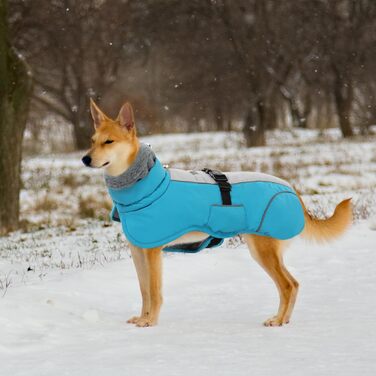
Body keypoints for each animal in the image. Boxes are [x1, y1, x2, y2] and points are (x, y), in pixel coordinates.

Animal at [81, 99, 352, 326]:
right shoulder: (138, 251)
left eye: (109, 141)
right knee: (293, 284)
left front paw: (150, 321)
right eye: (92, 140)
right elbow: (144, 291)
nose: (85, 159)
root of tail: (291, 188)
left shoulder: (152, 251)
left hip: (263, 250)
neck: (145, 183)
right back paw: (282, 318)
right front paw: (142, 317)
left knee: (287, 286)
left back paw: (277, 321)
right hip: (266, 251)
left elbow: (155, 292)